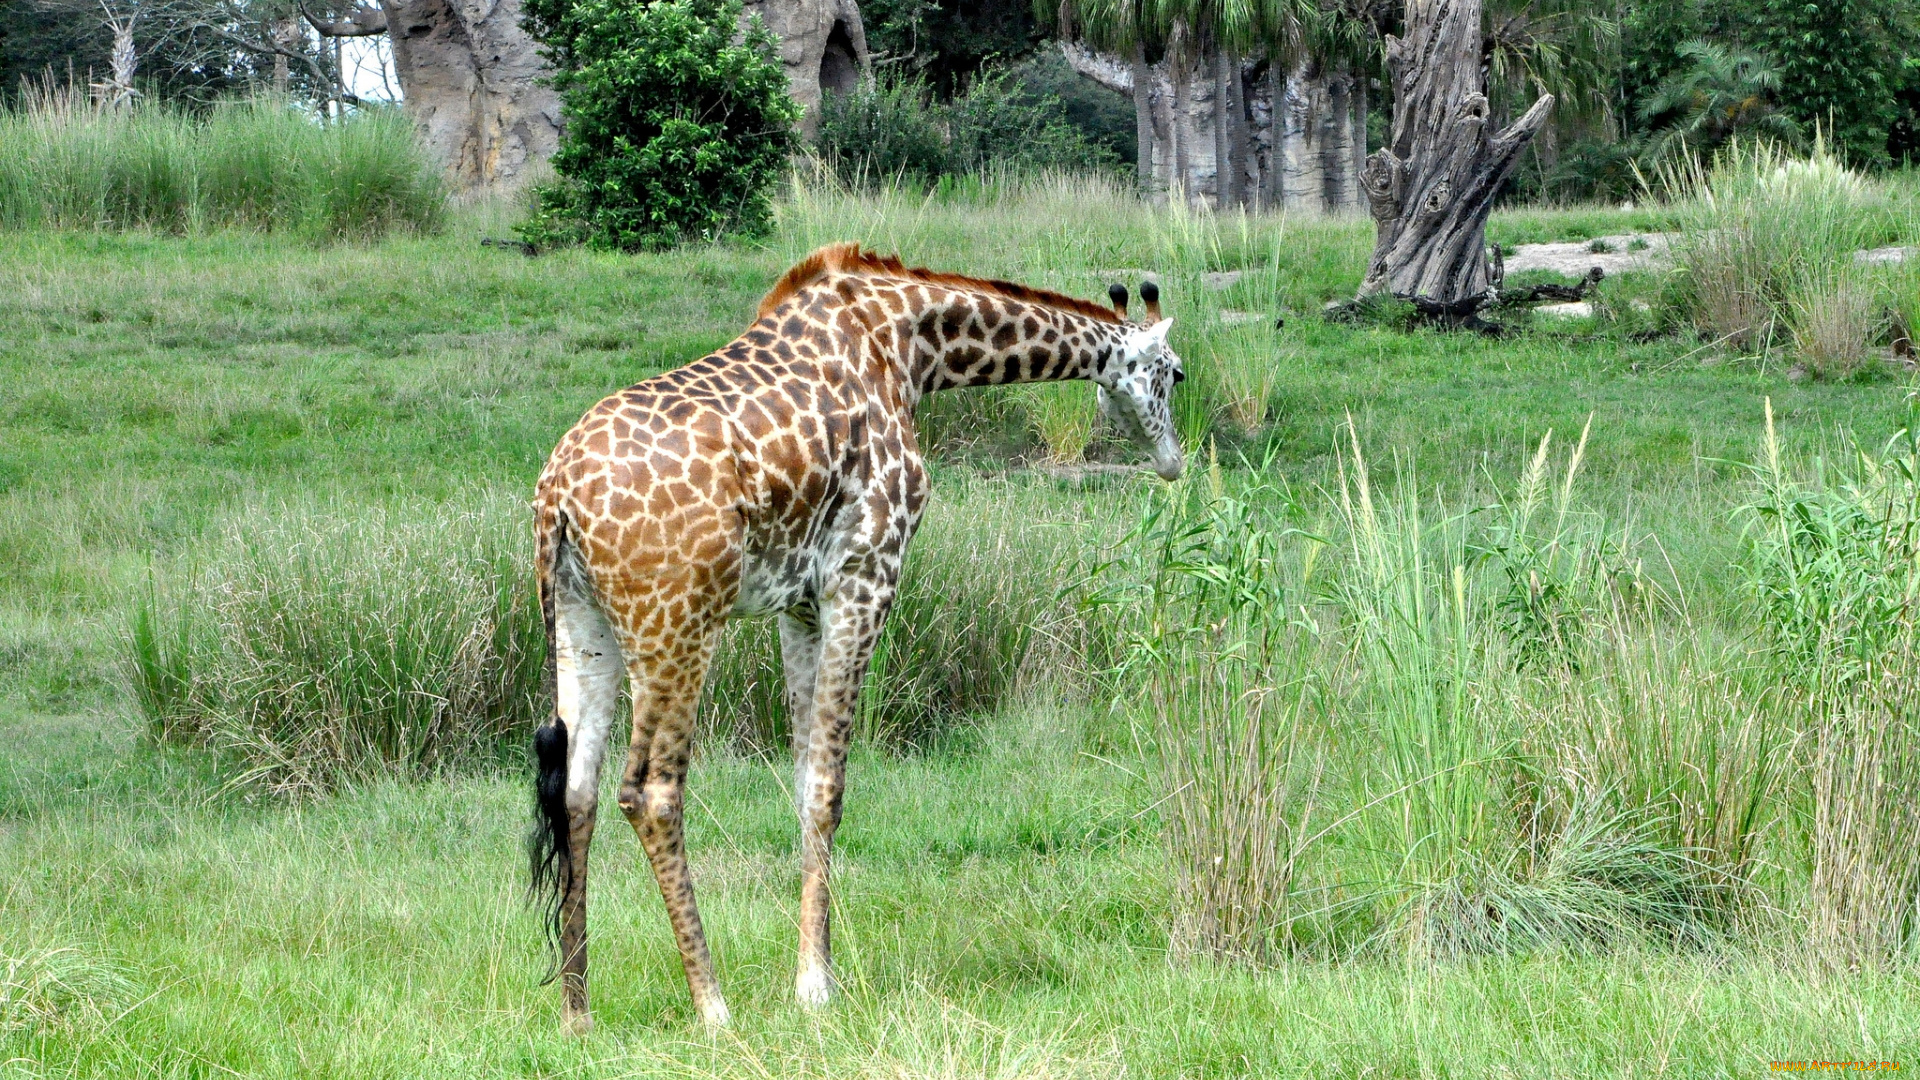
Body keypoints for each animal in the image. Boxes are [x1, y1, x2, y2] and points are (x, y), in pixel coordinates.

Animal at [526, 239, 1182, 1030]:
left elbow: (804, 773)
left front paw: (817, 972)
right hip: (677, 620)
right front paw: (815, 986)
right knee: (649, 790)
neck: (910, 346)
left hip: (580, 621)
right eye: (1176, 373)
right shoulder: (866, 575)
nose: (1174, 461)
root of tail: (558, 496)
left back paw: (577, 1012)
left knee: (577, 790)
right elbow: (830, 786)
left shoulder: (800, 603)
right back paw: (712, 1005)